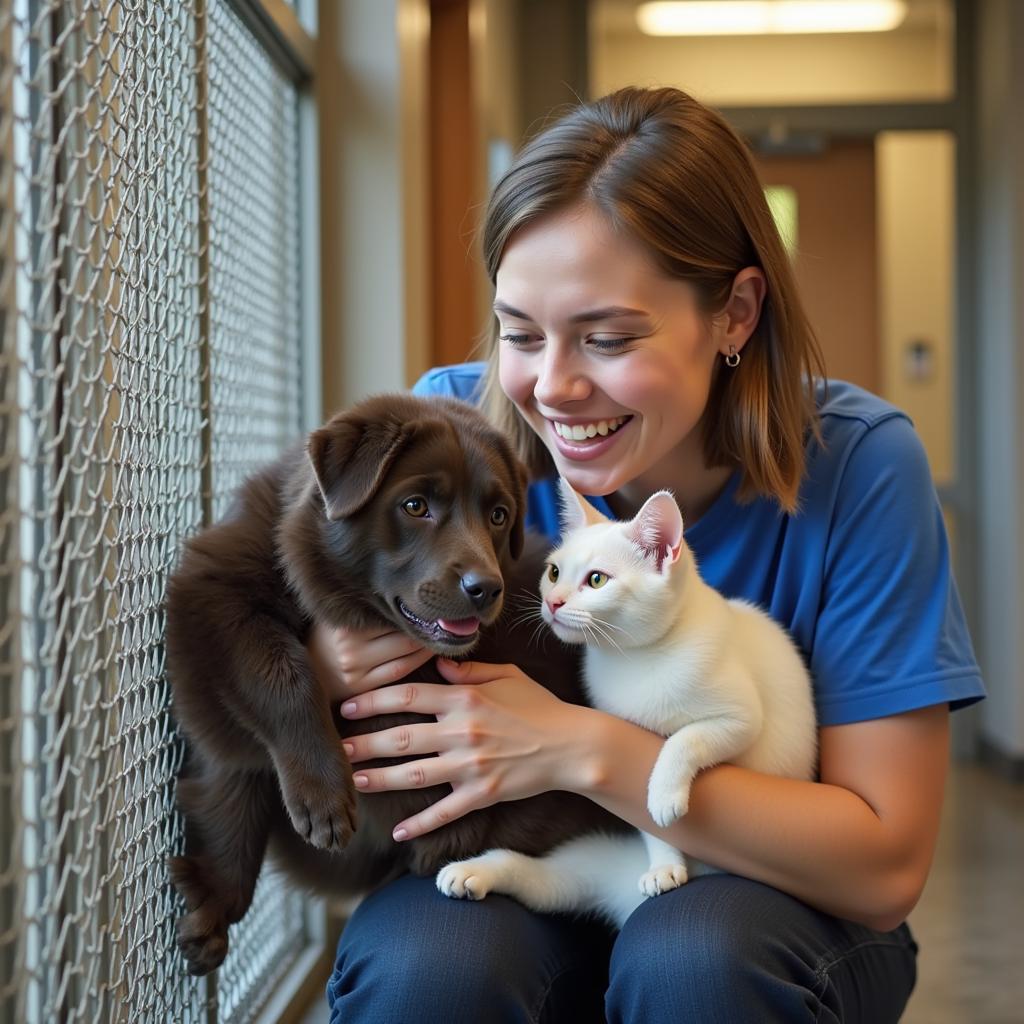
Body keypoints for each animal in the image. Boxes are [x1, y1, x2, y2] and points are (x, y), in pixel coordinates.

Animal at [165, 393, 622, 974]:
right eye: (415, 506)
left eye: (498, 516)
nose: (484, 588)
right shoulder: (213, 593)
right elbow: (281, 675)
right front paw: (323, 791)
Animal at [436, 479, 819, 929]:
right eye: (554, 573)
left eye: (597, 580)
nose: (553, 602)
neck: (633, 659)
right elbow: (648, 819)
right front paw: (664, 863)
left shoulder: (741, 718)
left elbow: (684, 740)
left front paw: (664, 794)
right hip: (580, 873)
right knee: (538, 879)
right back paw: (472, 872)